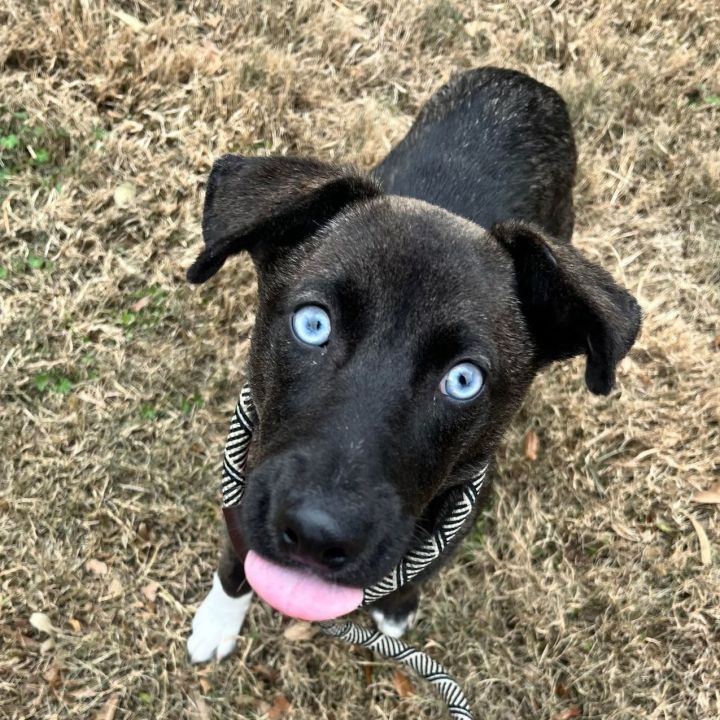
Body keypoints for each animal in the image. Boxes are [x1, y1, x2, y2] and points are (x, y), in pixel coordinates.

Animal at [186, 69, 640, 664]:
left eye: (464, 380)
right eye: (313, 324)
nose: (318, 533)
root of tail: (525, 80)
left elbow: (415, 574)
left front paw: (397, 607)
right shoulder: (241, 496)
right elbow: (236, 562)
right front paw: (218, 620)